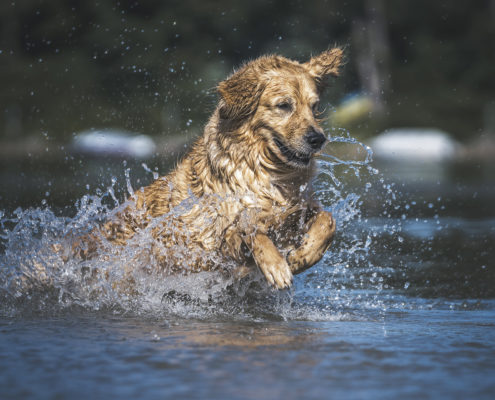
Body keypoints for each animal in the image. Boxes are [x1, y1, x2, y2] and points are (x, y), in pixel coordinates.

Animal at [75, 48, 342, 290]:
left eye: (314, 106)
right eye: (284, 105)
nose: (318, 139)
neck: (269, 173)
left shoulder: (298, 210)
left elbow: (328, 220)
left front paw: (303, 255)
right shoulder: (219, 240)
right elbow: (250, 228)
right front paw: (276, 266)